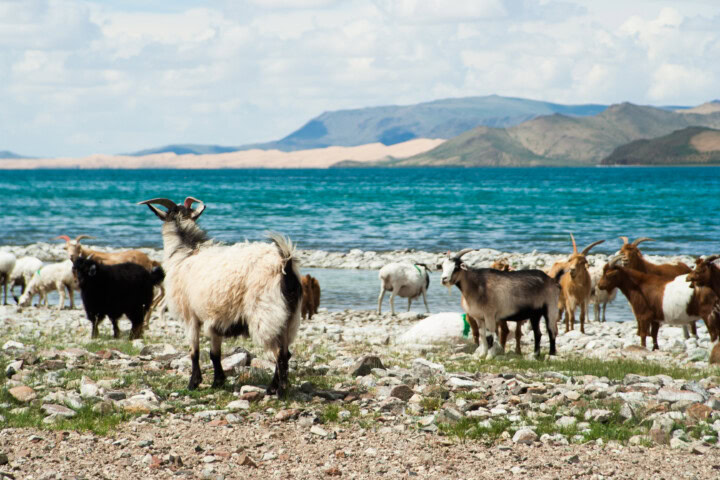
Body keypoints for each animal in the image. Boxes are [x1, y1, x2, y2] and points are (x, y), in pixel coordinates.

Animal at [139, 197, 302, 396]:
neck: (186, 252)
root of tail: (285, 264)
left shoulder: (190, 316)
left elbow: (194, 351)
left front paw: (193, 383)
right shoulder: (215, 320)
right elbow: (214, 353)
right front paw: (218, 381)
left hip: (266, 314)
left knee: (279, 354)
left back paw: (278, 390)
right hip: (289, 318)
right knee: (286, 352)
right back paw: (275, 387)